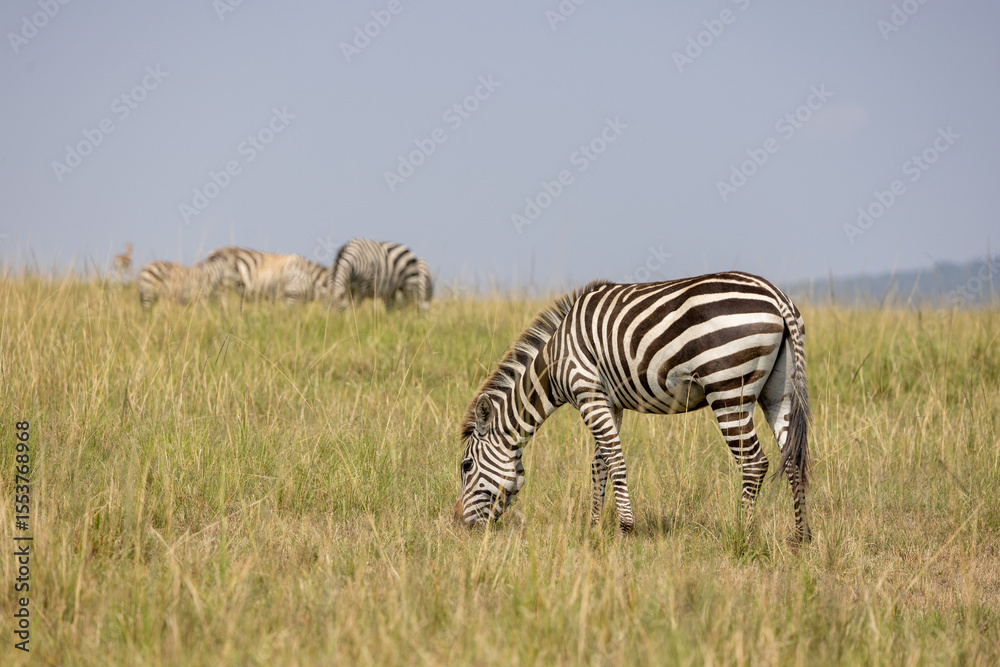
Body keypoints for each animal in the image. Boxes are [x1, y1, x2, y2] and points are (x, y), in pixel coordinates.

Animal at [456, 272, 812, 543]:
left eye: (466, 466)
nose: (460, 526)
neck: (556, 360)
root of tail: (777, 297)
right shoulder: (608, 402)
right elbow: (599, 464)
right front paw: (594, 528)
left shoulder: (588, 392)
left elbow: (615, 459)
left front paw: (625, 527)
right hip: (779, 391)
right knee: (792, 459)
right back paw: (800, 538)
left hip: (727, 389)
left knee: (754, 462)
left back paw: (742, 536)